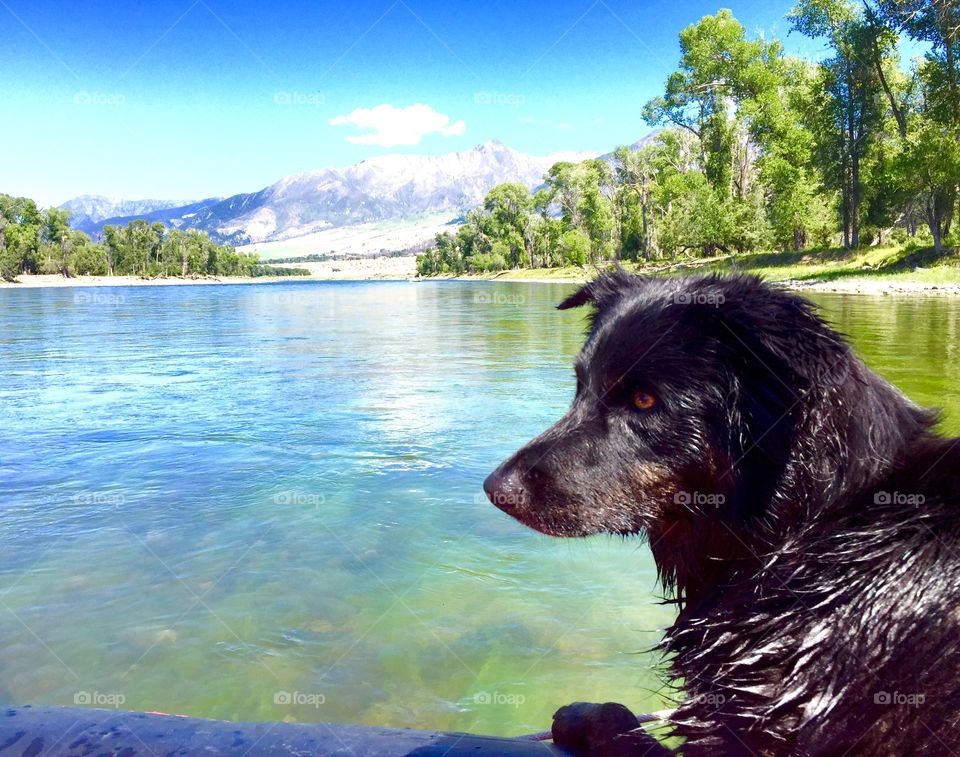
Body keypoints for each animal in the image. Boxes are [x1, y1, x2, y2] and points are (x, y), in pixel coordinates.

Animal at [484, 274, 960, 756]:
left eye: (644, 400)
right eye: (580, 386)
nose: (495, 489)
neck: (809, 526)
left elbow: (623, 727)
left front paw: (587, 715)